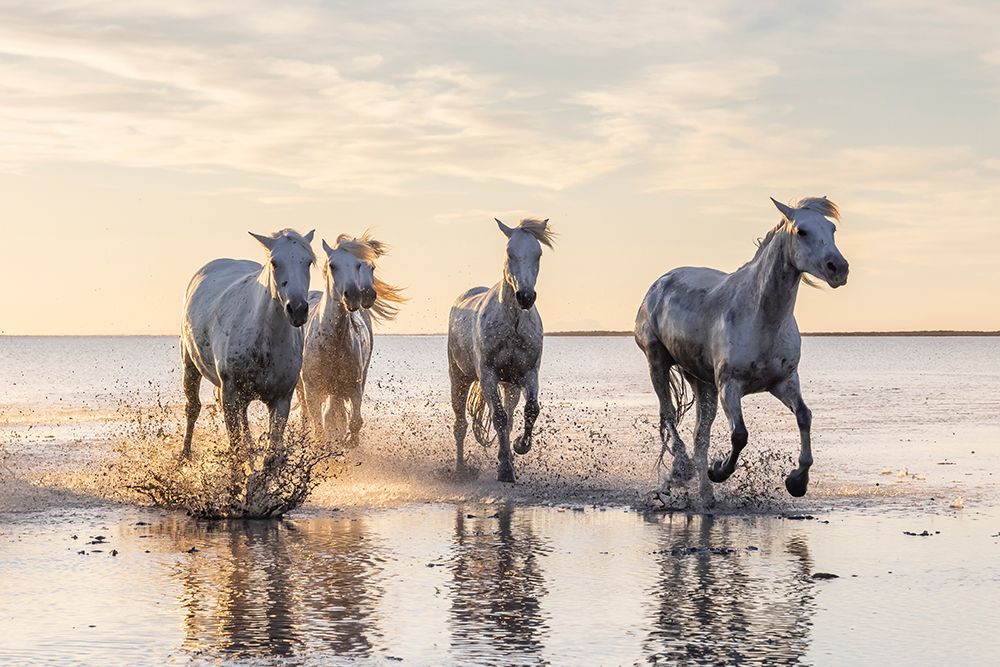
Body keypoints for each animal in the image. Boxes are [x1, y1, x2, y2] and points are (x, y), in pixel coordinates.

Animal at [180, 228, 316, 458]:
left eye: (308, 262)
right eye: (275, 262)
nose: (297, 309)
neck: (264, 342)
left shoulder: (281, 400)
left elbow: (272, 453)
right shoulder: (230, 394)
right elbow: (235, 446)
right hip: (190, 365)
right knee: (193, 408)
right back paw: (185, 456)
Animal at [298, 232, 405, 447]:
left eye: (366, 266)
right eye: (333, 265)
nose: (356, 295)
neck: (332, 344)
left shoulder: (353, 386)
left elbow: (354, 422)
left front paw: (349, 444)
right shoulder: (311, 388)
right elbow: (318, 427)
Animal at [447, 218, 554, 483]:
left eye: (538, 253)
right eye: (509, 252)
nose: (525, 296)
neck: (512, 324)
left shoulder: (528, 374)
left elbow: (530, 410)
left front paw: (519, 447)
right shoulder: (488, 375)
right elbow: (498, 417)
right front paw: (505, 470)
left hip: (510, 385)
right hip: (459, 378)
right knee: (460, 424)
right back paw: (460, 468)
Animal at [634, 197, 849, 504]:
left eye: (832, 229)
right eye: (801, 231)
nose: (838, 268)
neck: (761, 317)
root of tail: (659, 284)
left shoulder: (784, 382)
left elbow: (804, 416)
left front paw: (797, 481)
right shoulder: (730, 385)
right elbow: (739, 435)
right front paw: (719, 470)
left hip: (702, 382)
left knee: (701, 436)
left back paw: (706, 496)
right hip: (658, 362)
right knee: (670, 415)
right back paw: (683, 469)